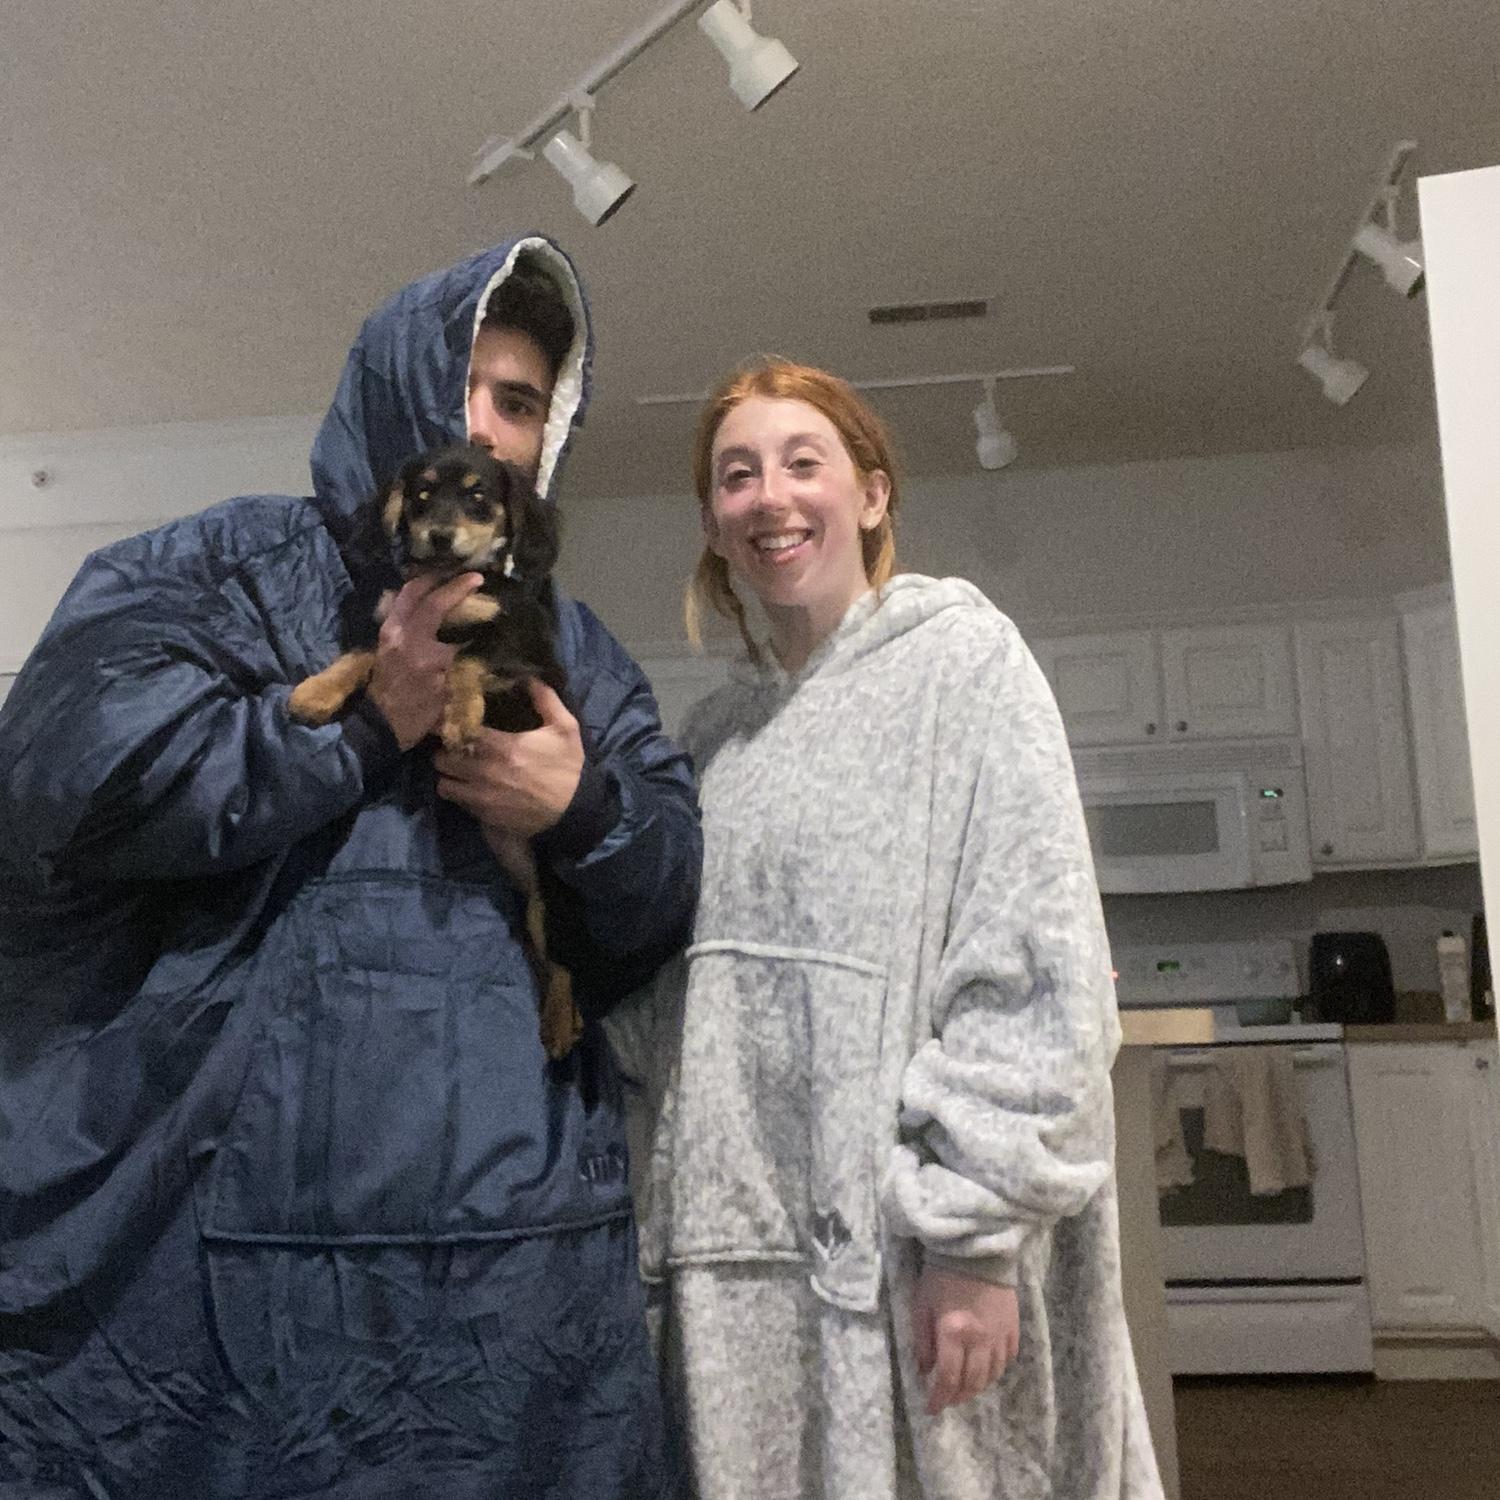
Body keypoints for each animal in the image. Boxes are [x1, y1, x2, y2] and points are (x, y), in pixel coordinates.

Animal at [288, 443, 581, 1060]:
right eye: (421, 494)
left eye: (478, 496)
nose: (441, 537)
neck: (450, 587)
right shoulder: (398, 631)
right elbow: (365, 651)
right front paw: (316, 693)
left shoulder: (521, 655)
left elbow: (468, 658)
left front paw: (460, 719)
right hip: (526, 895)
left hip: (554, 896)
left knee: (567, 963)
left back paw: (559, 1024)